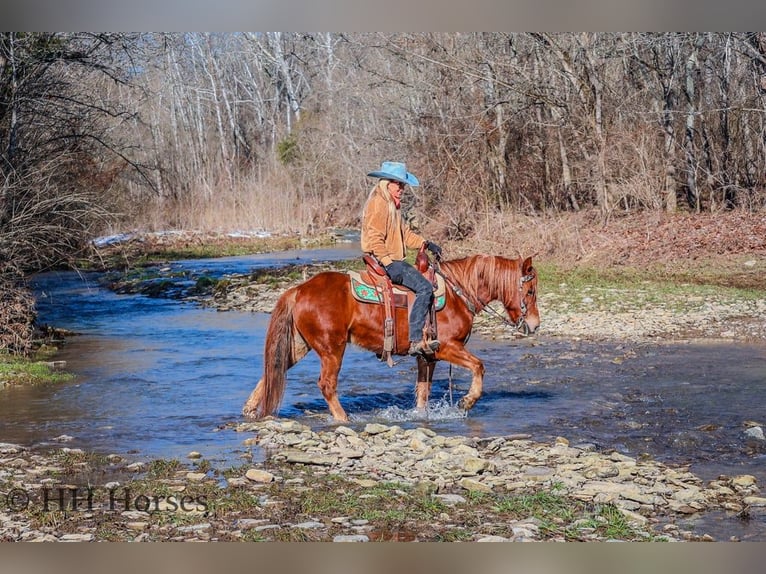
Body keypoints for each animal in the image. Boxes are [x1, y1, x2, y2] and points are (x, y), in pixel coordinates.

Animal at [242, 252, 540, 422]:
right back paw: (343, 419)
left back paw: (250, 408)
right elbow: (479, 366)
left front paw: (421, 416)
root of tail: (300, 289)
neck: (458, 294)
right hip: (331, 348)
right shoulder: (445, 348)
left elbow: (423, 391)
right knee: (326, 384)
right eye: (530, 291)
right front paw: (468, 400)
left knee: (275, 368)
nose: (535, 325)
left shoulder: (427, 356)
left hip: (300, 344)